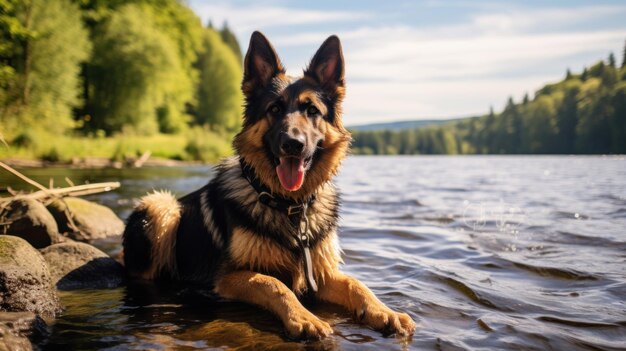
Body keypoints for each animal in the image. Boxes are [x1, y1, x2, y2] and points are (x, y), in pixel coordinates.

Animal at [121, 31, 414, 340]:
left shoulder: (320, 275)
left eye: (312, 110)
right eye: (274, 109)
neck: (289, 206)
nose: (293, 144)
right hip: (160, 207)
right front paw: (304, 317)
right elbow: (275, 284)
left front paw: (385, 311)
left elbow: (357, 284)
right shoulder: (229, 277)